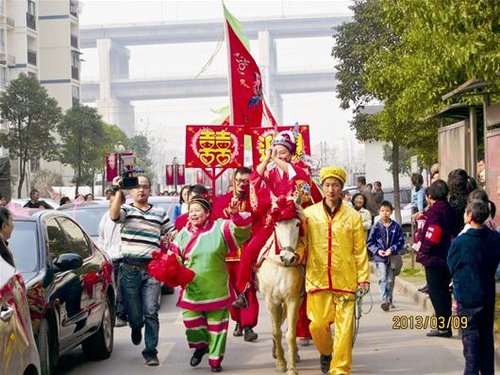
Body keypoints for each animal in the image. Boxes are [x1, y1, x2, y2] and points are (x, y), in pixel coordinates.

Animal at [256, 198, 302, 374]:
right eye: (276, 224)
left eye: (297, 224)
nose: (288, 257)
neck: (281, 267)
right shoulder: (271, 301)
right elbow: (276, 331)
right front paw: (281, 362)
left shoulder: (293, 299)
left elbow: (291, 333)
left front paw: (291, 366)